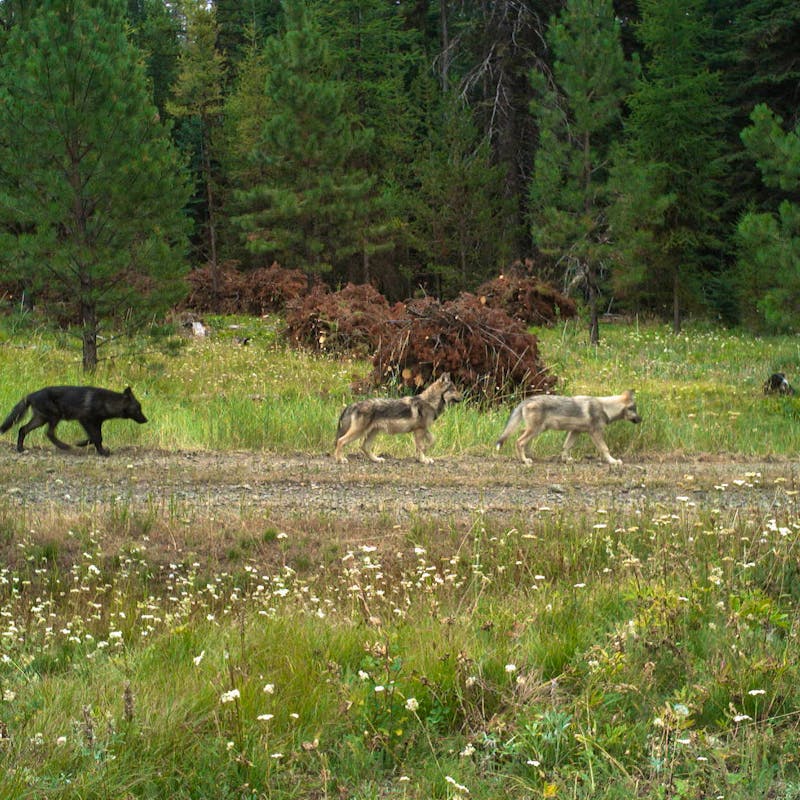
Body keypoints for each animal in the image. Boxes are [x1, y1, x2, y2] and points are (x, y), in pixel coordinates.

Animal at [0, 386, 148, 456]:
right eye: (138, 409)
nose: (146, 420)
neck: (105, 401)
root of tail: (30, 395)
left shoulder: (97, 422)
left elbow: (95, 437)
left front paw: (83, 444)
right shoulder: (85, 419)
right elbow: (97, 437)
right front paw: (102, 452)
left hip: (42, 419)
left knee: (23, 429)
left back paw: (20, 448)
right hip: (53, 417)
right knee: (48, 433)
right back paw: (64, 446)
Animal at [334, 374, 462, 466]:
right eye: (454, 390)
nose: (463, 397)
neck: (430, 402)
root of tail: (354, 404)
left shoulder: (423, 429)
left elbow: (432, 441)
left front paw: (424, 456)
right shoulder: (419, 431)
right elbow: (421, 447)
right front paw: (423, 459)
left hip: (373, 432)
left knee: (364, 447)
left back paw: (377, 459)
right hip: (359, 432)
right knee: (340, 441)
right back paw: (340, 459)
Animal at [494, 390, 644, 466]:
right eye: (634, 409)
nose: (641, 419)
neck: (606, 407)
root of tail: (527, 400)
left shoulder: (575, 431)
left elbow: (566, 447)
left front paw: (566, 460)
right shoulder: (595, 433)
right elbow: (605, 449)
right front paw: (613, 461)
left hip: (537, 430)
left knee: (522, 439)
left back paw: (529, 456)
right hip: (536, 430)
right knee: (519, 442)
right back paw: (525, 461)